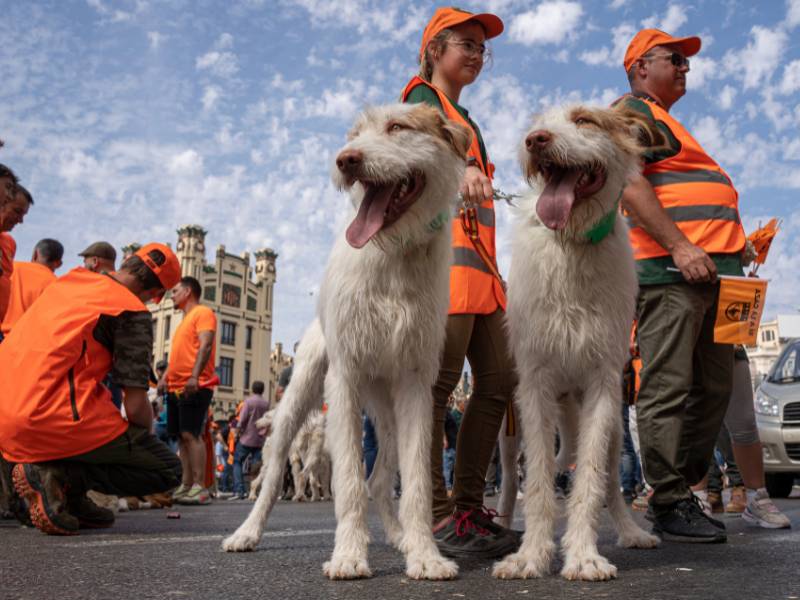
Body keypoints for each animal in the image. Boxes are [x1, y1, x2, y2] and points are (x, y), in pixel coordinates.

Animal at [220, 104, 468, 580]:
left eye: (397, 127)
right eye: (354, 135)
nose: (345, 160)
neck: (394, 254)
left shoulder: (417, 386)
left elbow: (414, 484)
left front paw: (425, 555)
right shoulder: (345, 378)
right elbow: (349, 482)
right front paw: (350, 555)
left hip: (388, 414)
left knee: (380, 480)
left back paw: (402, 538)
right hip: (298, 402)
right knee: (272, 477)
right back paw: (246, 532)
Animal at [494, 105, 664, 584]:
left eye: (585, 120)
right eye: (537, 120)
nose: (535, 140)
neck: (571, 243)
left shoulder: (602, 386)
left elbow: (589, 480)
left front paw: (584, 556)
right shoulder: (534, 386)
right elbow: (536, 482)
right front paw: (530, 556)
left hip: (608, 428)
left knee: (606, 480)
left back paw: (630, 531)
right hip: (510, 429)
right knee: (514, 479)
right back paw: (501, 522)